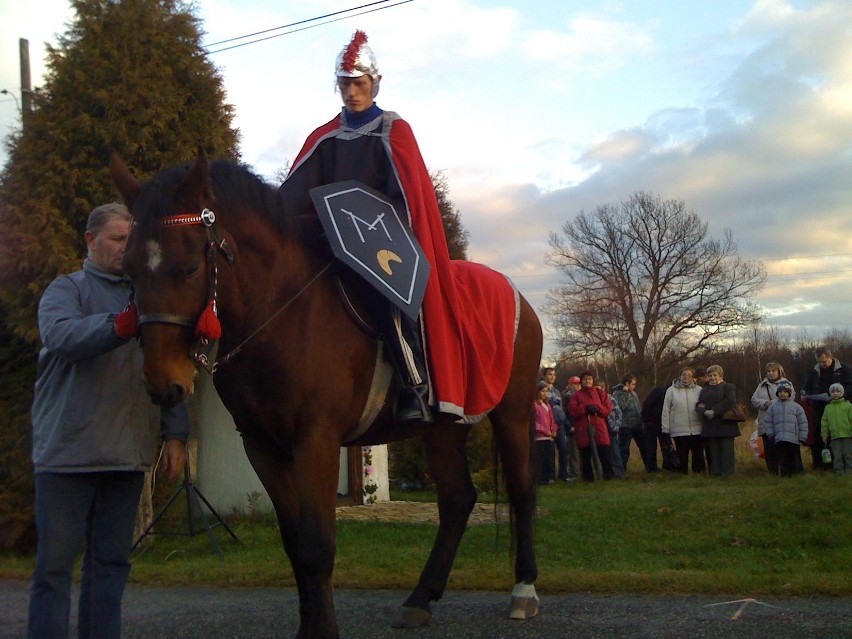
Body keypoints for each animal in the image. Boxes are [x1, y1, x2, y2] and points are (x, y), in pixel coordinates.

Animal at [110, 151, 544, 639]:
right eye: (127, 269)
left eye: (188, 267)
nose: (164, 383)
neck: (281, 313)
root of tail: (517, 294)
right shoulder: (263, 447)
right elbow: (294, 542)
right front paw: (308, 627)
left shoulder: (315, 441)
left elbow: (318, 544)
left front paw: (323, 629)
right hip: (443, 428)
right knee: (456, 500)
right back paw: (420, 598)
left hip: (513, 411)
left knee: (522, 490)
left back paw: (524, 590)